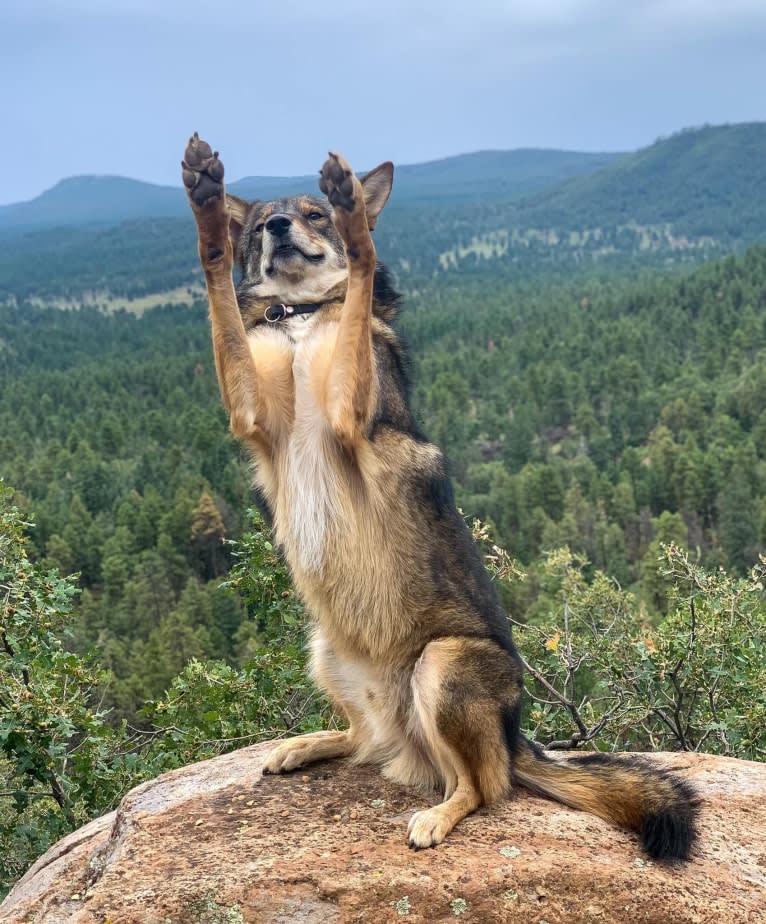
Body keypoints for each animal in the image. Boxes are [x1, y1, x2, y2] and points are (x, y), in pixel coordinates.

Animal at [183, 135, 700, 860]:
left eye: (314, 215)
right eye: (262, 226)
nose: (282, 227)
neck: (302, 318)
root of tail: (514, 737)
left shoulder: (351, 413)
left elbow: (362, 268)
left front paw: (355, 221)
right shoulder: (250, 413)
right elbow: (217, 289)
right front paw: (204, 201)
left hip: (443, 665)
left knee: (484, 787)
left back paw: (439, 815)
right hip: (325, 651)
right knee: (365, 742)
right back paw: (310, 744)